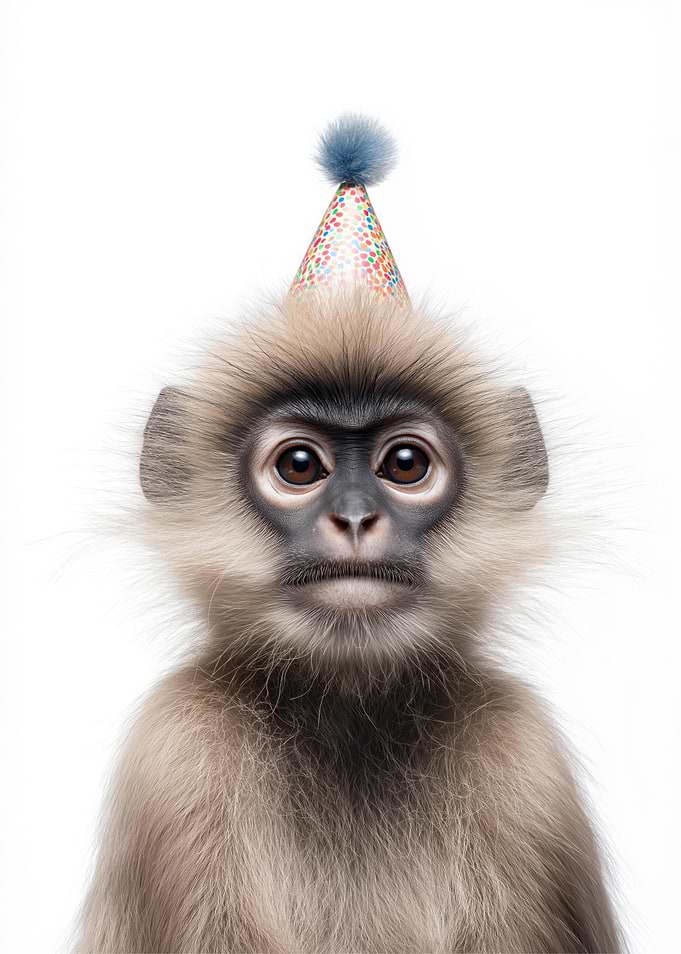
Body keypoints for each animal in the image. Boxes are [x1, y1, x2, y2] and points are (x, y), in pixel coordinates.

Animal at [73, 288, 623, 954]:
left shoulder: (526, 762)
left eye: (406, 463)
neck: (348, 713)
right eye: (299, 465)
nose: (356, 517)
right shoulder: (177, 750)